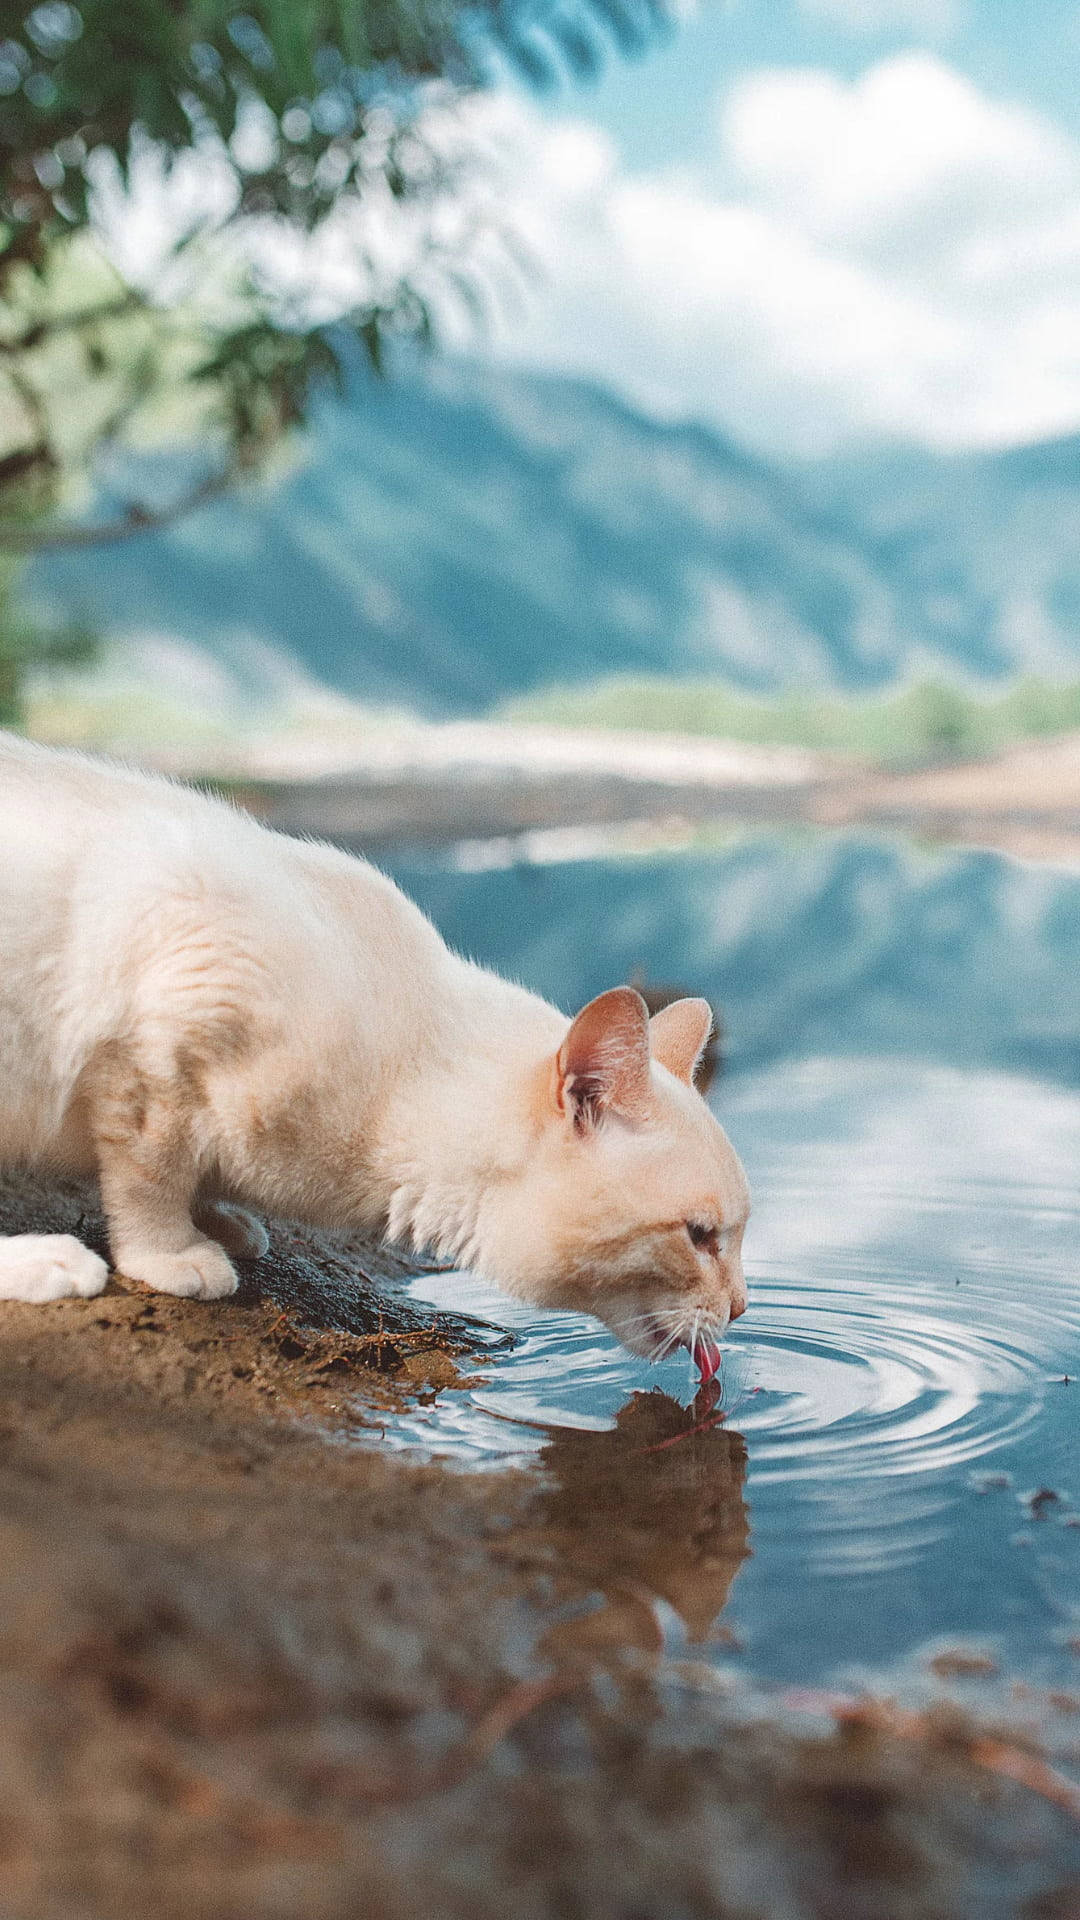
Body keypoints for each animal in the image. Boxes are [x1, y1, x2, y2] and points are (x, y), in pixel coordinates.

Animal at [0, 725, 745, 1374]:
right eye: (699, 1237)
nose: (739, 1309)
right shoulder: (159, 1055)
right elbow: (150, 1175)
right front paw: (172, 1253)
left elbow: (190, 1174)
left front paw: (222, 1219)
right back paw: (50, 1263)